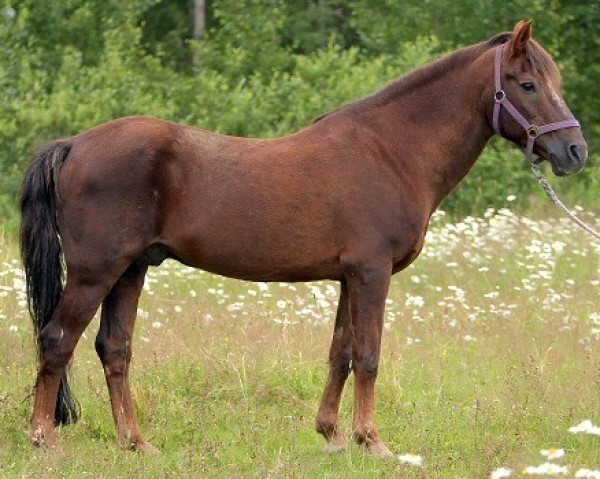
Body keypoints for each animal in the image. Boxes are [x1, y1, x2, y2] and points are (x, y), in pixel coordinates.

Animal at [19, 21, 584, 458]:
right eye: (527, 84)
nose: (575, 151)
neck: (390, 151)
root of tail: (73, 145)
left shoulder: (348, 277)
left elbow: (341, 352)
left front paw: (332, 435)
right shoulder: (372, 272)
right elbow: (369, 354)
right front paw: (373, 441)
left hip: (131, 270)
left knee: (113, 349)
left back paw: (136, 444)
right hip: (96, 272)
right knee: (57, 339)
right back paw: (45, 439)